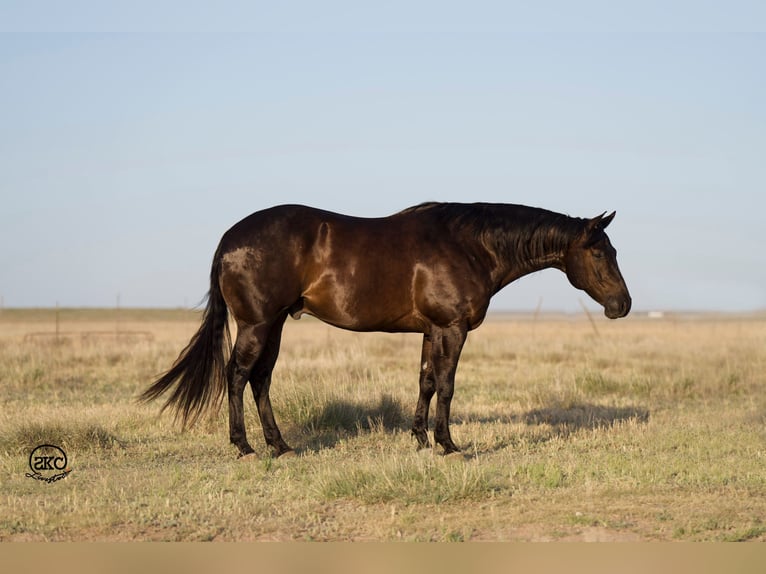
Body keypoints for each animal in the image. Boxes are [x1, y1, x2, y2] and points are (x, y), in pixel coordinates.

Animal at [141, 202, 632, 460]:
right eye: (600, 253)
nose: (622, 306)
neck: (469, 246)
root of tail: (229, 239)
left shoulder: (431, 331)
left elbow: (426, 382)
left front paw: (419, 439)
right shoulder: (452, 329)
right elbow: (447, 386)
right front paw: (448, 444)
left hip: (275, 324)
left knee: (261, 380)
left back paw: (280, 445)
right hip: (257, 325)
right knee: (238, 376)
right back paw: (244, 446)